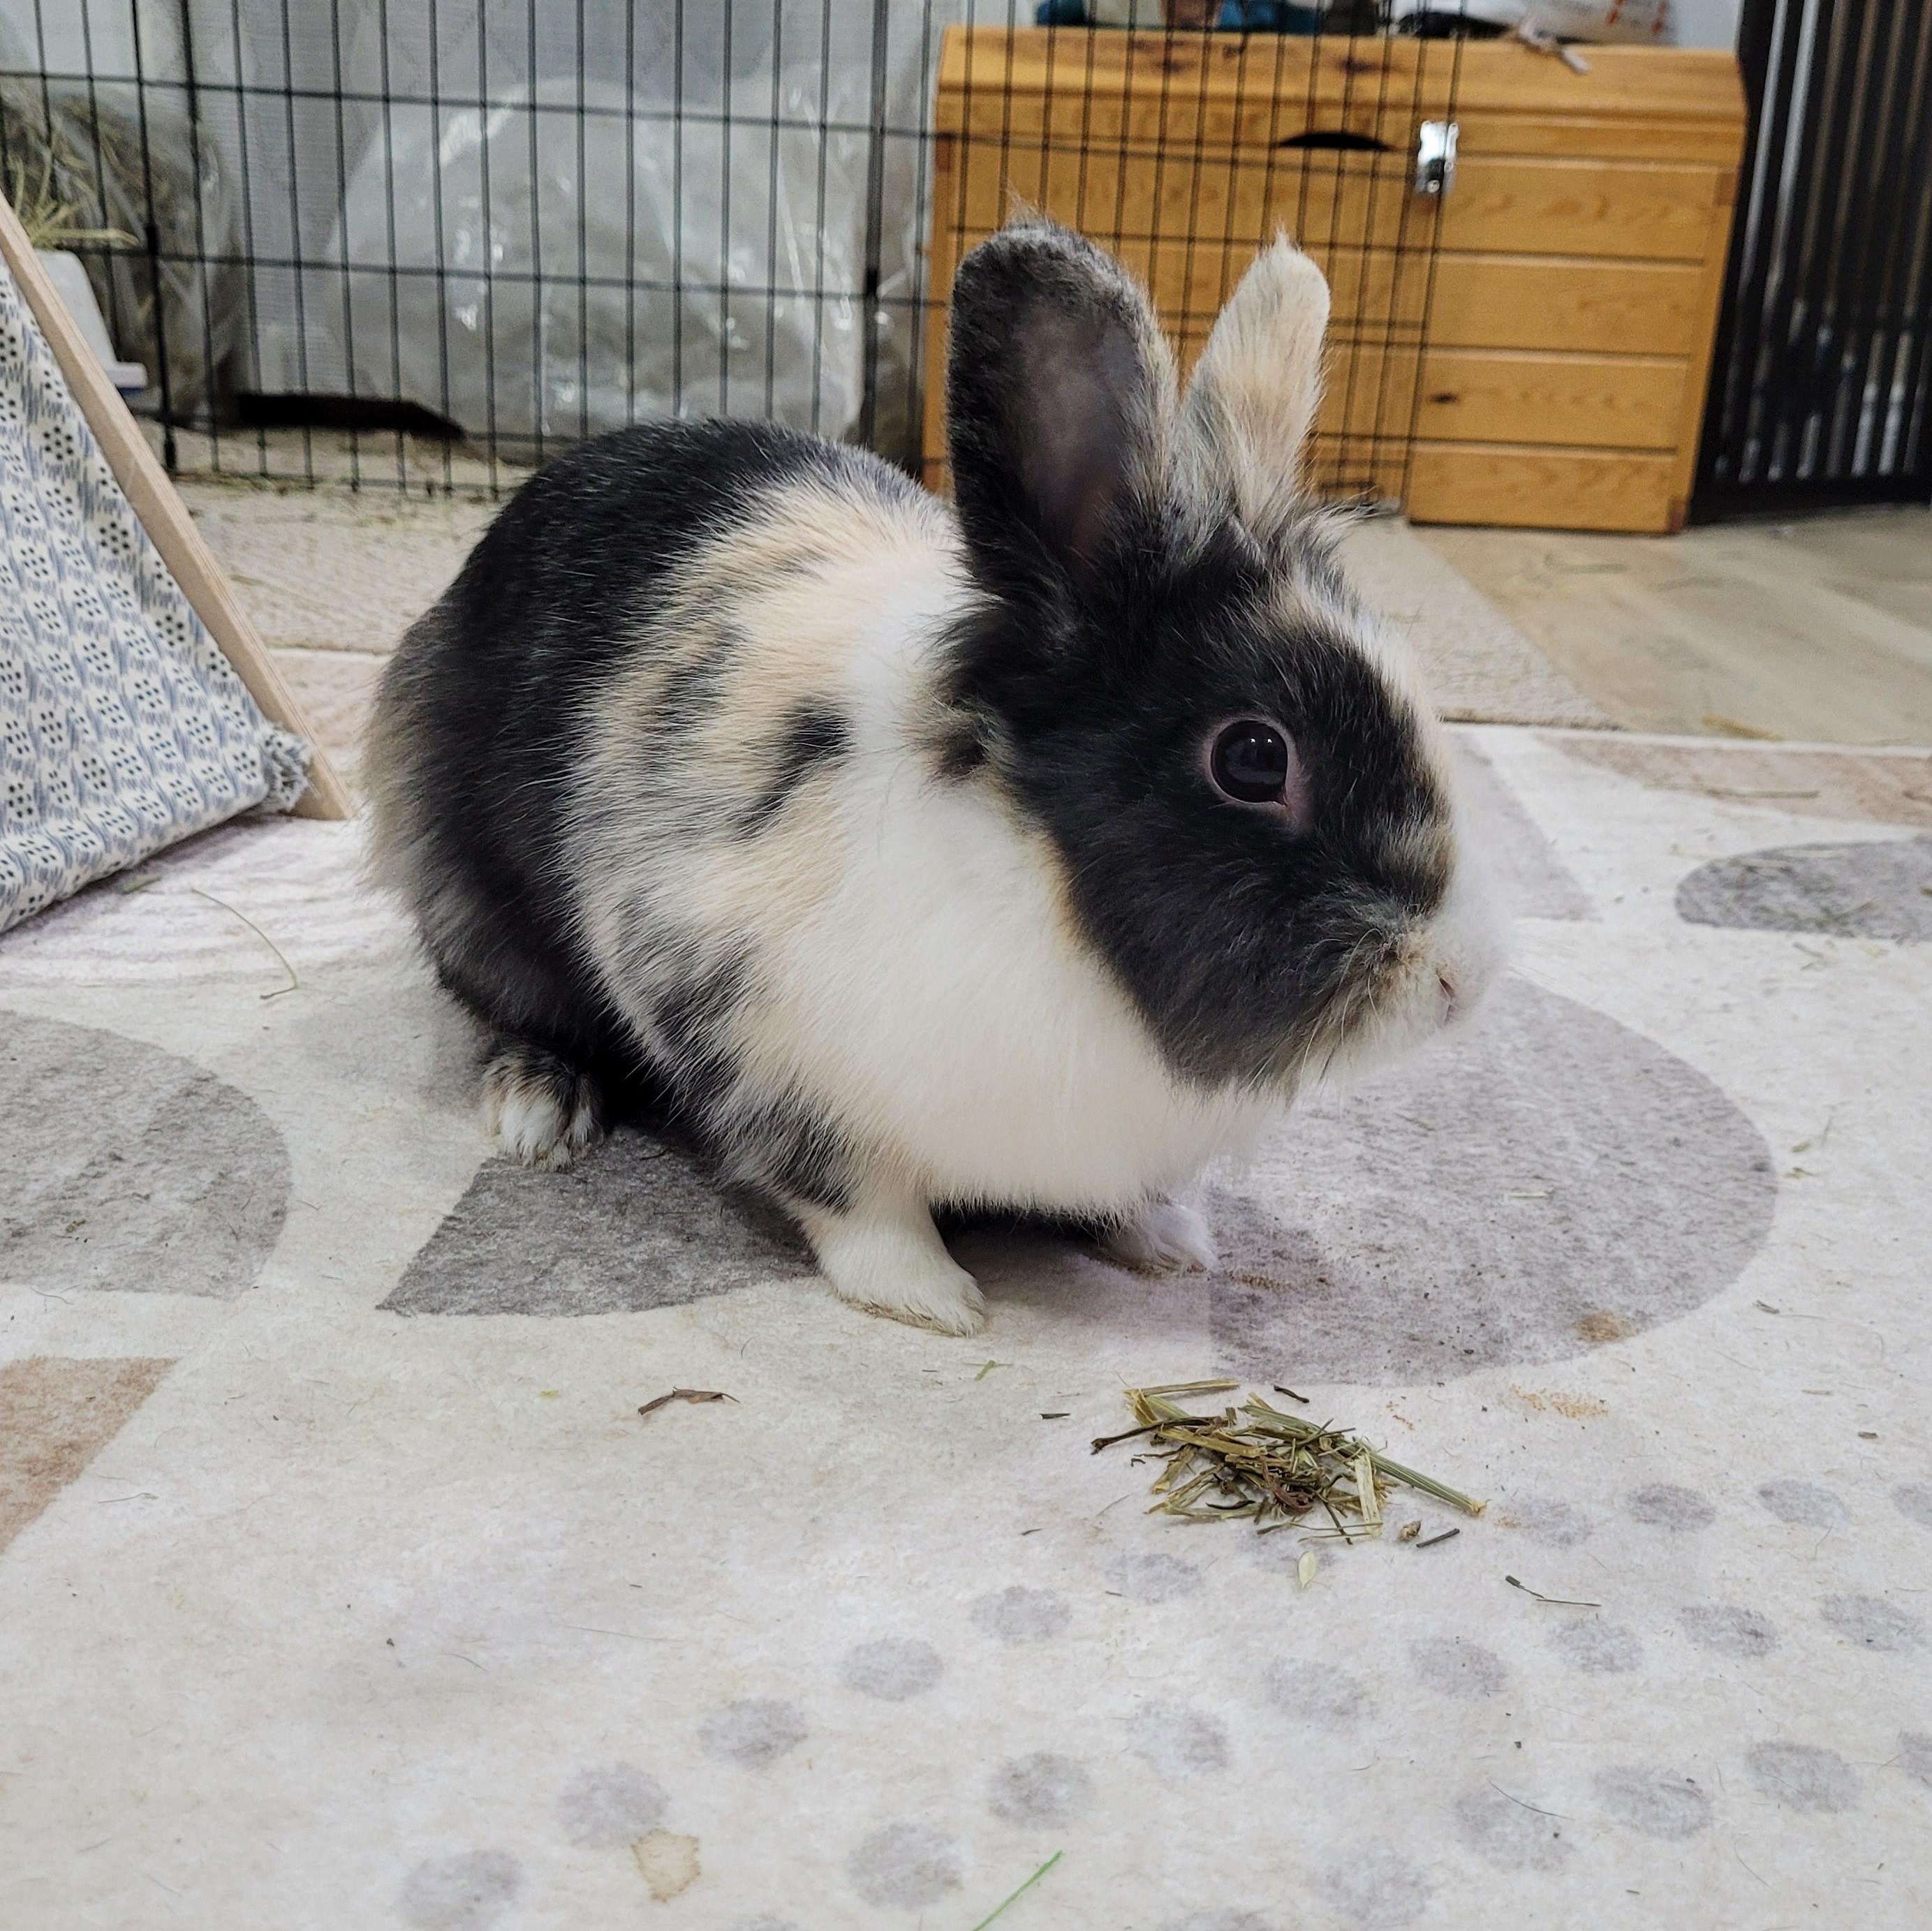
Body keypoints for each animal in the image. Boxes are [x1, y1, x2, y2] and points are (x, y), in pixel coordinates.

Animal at [366, 219, 1505, 1336]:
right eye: (1254, 758)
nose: (1462, 981)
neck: (1036, 885)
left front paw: (1166, 1241)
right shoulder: (726, 1009)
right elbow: (849, 1193)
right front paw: (929, 1296)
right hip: (466, 899)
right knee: (514, 1012)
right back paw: (540, 1109)